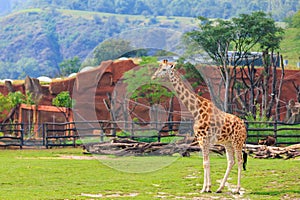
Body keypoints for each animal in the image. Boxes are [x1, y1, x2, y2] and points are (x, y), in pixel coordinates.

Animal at [151, 59, 247, 194]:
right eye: (159, 67)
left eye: (164, 69)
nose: (153, 76)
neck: (195, 110)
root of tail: (244, 126)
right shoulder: (202, 140)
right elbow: (205, 162)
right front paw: (208, 188)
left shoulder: (203, 138)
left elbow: (205, 162)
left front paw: (205, 188)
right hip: (227, 142)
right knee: (231, 161)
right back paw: (220, 188)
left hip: (237, 141)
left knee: (239, 160)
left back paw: (237, 189)